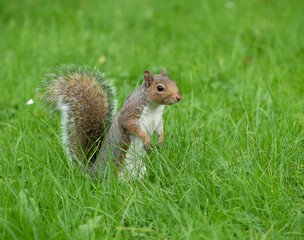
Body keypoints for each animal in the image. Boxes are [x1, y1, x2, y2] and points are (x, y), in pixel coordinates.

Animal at [44, 64, 182, 179]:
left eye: (175, 82)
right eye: (160, 88)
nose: (179, 97)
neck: (154, 106)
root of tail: (92, 172)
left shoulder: (158, 118)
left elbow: (160, 128)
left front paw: (160, 140)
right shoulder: (130, 114)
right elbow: (134, 128)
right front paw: (147, 141)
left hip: (141, 170)